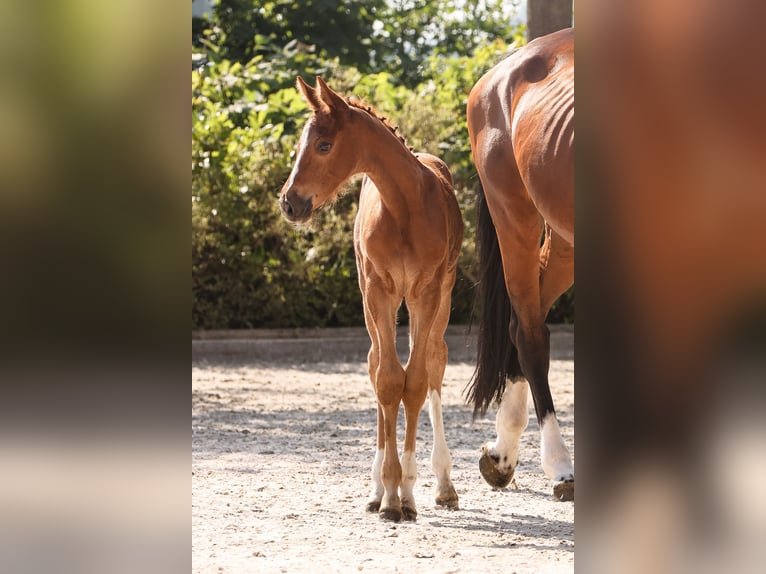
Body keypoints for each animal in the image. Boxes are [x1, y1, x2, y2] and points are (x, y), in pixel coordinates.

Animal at [280, 75, 464, 520]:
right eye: (301, 143)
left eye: (324, 145)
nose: (289, 203)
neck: (404, 208)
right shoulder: (378, 291)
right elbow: (387, 379)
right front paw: (391, 493)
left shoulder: (426, 293)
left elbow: (415, 381)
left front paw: (409, 492)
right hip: (372, 300)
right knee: (375, 364)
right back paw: (378, 487)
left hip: (441, 297)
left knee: (434, 361)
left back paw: (442, 483)